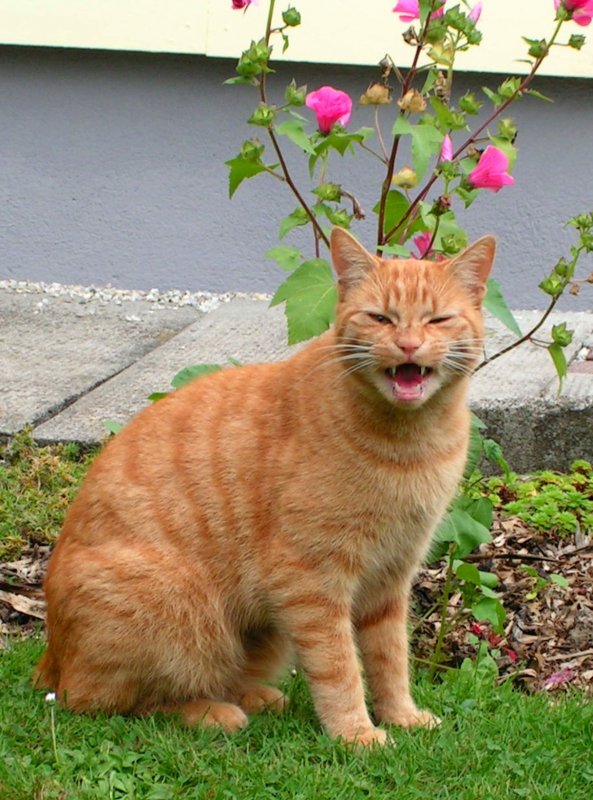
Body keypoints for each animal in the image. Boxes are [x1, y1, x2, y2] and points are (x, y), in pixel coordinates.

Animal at [34, 228, 492, 748]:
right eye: (380, 318)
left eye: (437, 319)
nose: (410, 345)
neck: (409, 446)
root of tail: (51, 657)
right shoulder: (311, 581)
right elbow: (339, 667)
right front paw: (355, 734)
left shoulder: (390, 579)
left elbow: (390, 659)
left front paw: (401, 716)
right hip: (180, 614)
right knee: (105, 701)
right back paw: (212, 713)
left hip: (260, 631)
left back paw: (255, 697)